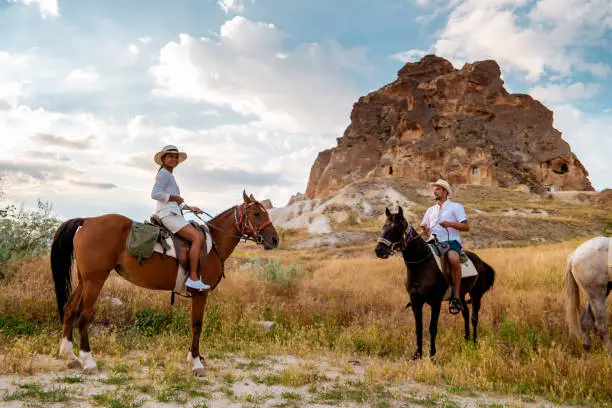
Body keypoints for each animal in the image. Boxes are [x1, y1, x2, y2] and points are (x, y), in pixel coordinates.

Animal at [50, 192, 280, 376]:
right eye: (257, 214)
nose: (275, 239)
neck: (212, 244)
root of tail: (87, 220)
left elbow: (194, 325)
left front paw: (195, 357)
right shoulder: (201, 293)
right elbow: (197, 324)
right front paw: (196, 362)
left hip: (84, 280)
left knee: (69, 309)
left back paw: (69, 356)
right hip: (95, 281)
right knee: (83, 315)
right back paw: (88, 361)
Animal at [372, 209, 498, 358]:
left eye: (397, 228)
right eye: (384, 227)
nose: (379, 250)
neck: (422, 266)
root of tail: (480, 261)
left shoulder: (435, 302)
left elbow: (432, 328)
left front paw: (432, 355)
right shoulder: (416, 301)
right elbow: (419, 327)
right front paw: (417, 354)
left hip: (476, 295)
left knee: (474, 318)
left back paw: (473, 343)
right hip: (460, 295)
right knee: (466, 313)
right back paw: (466, 340)